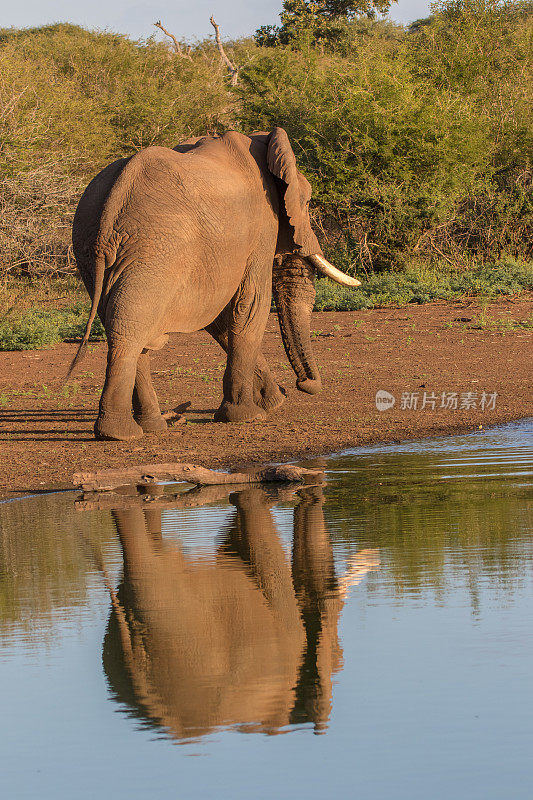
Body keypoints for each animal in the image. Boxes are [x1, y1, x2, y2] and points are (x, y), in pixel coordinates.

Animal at [71, 126, 358, 440]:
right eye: (306, 202)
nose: (301, 385)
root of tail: (112, 201)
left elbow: (222, 317)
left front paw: (273, 403)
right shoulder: (262, 225)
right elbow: (251, 305)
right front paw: (249, 416)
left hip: (92, 249)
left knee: (125, 324)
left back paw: (150, 426)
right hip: (155, 249)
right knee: (130, 325)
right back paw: (121, 433)